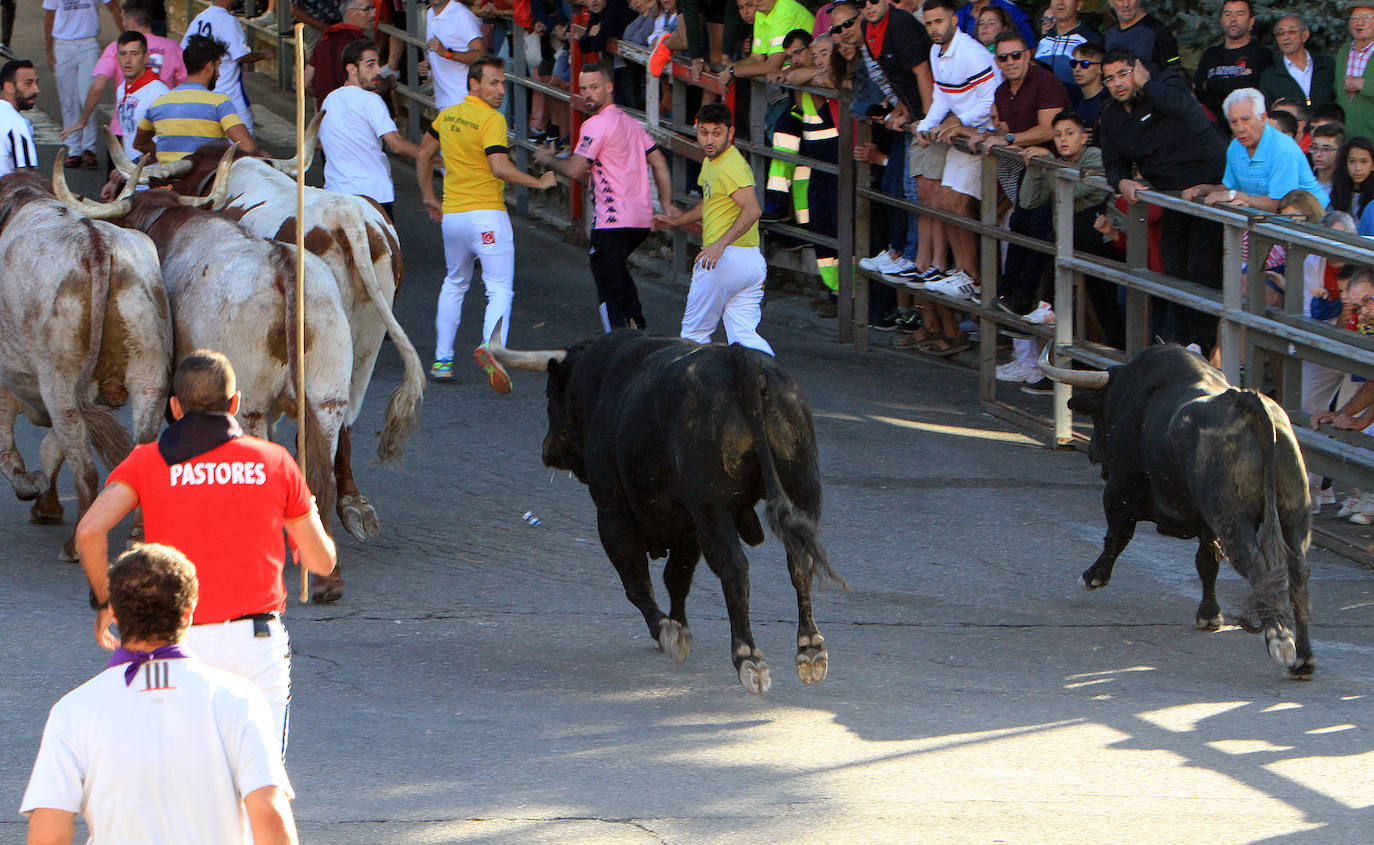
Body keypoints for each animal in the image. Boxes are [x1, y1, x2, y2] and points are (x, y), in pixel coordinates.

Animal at [489, 331, 840, 695]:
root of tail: (740, 358)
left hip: (712, 507)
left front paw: (667, 631)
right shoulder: (686, 525)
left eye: (549, 393)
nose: (547, 449)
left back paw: (748, 657)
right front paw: (678, 625)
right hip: (802, 487)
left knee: (734, 567)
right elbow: (677, 577)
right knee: (800, 560)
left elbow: (636, 581)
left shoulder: (613, 514)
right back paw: (810, 648)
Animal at [1044, 340, 1313, 678]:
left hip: (1234, 521)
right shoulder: (1207, 524)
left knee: (1261, 569)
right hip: (1293, 515)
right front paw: (1209, 614)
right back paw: (1303, 660)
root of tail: (1243, 401)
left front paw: (1093, 576)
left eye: (1100, 415)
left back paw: (1280, 640)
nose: (1092, 451)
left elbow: (1117, 536)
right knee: (1298, 574)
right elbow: (1207, 561)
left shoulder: (1120, 489)